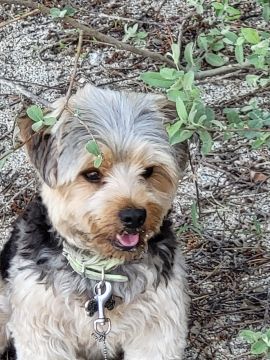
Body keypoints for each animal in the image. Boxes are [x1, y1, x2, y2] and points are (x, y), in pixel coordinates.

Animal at [0, 85, 189, 360]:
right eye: (92, 174)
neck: (101, 270)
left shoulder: (158, 324)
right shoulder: (42, 327)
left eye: (149, 171)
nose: (134, 216)